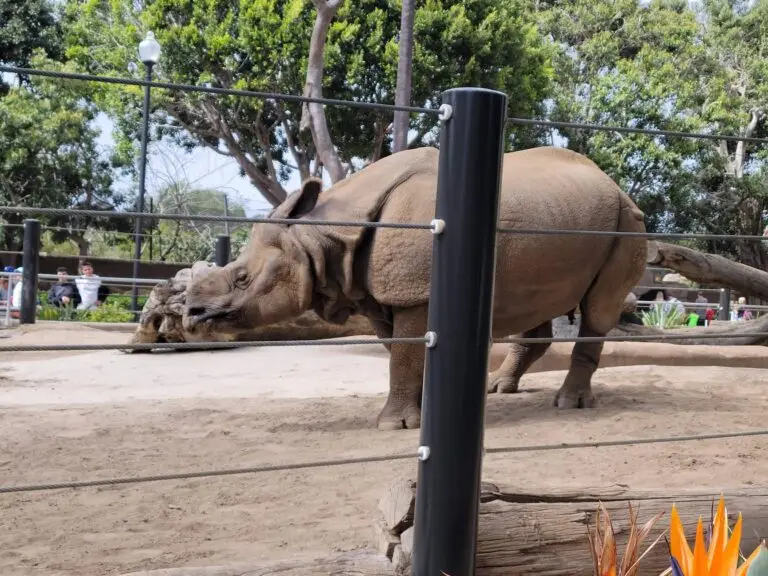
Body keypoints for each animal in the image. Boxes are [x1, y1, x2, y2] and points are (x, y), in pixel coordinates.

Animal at [184, 146, 647, 430]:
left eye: (242, 279)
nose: (190, 315)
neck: (319, 237)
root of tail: (615, 184)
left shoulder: (412, 291)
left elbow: (404, 355)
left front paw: (394, 426)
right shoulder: (374, 292)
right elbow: (403, 352)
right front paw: (421, 414)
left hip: (627, 220)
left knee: (598, 308)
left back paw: (570, 404)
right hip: (556, 219)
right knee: (535, 303)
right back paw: (498, 389)